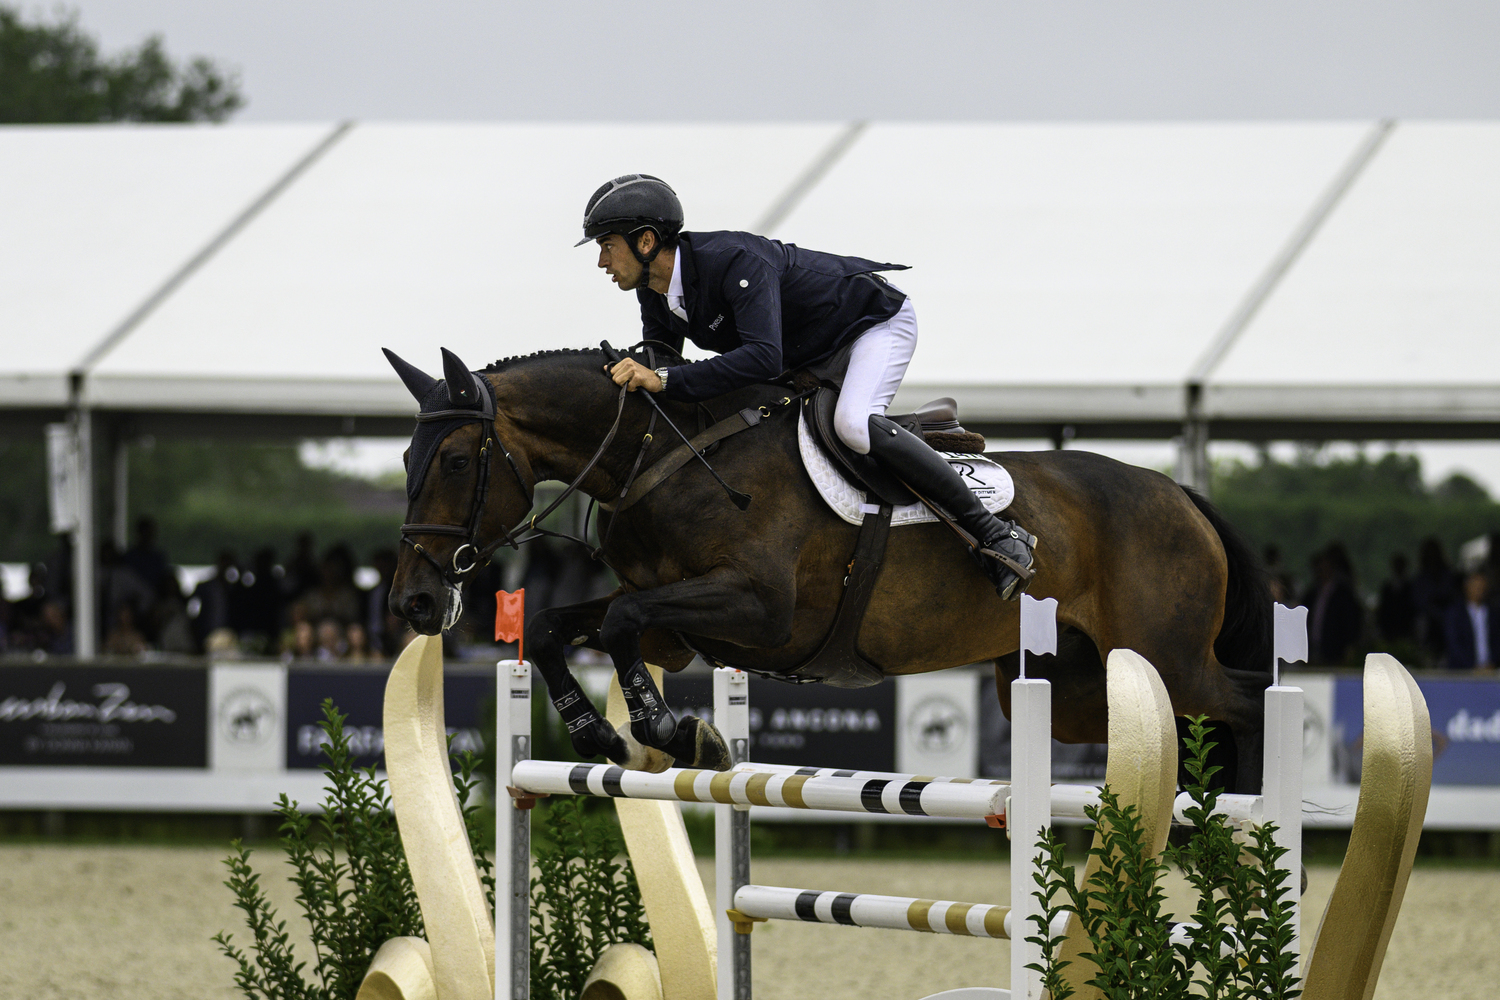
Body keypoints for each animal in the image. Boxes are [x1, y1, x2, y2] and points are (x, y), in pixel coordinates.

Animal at [390, 347, 1278, 791]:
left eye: (459, 460)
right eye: (405, 458)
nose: (415, 602)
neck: (665, 458)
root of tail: (1179, 493)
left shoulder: (759, 611)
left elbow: (618, 621)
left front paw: (676, 732)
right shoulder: (674, 622)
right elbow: (557, 624)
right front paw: (599, 732)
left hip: (1168, 658)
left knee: (1250, 702)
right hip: (1080, 692)